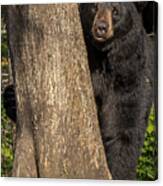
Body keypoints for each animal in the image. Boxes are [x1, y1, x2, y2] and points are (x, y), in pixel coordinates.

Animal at [79, 2, 154, 179]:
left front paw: (120, 171)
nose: (101, 27)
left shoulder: (131, 78)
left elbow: (124, 125)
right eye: (94, 7)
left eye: (115, 10)